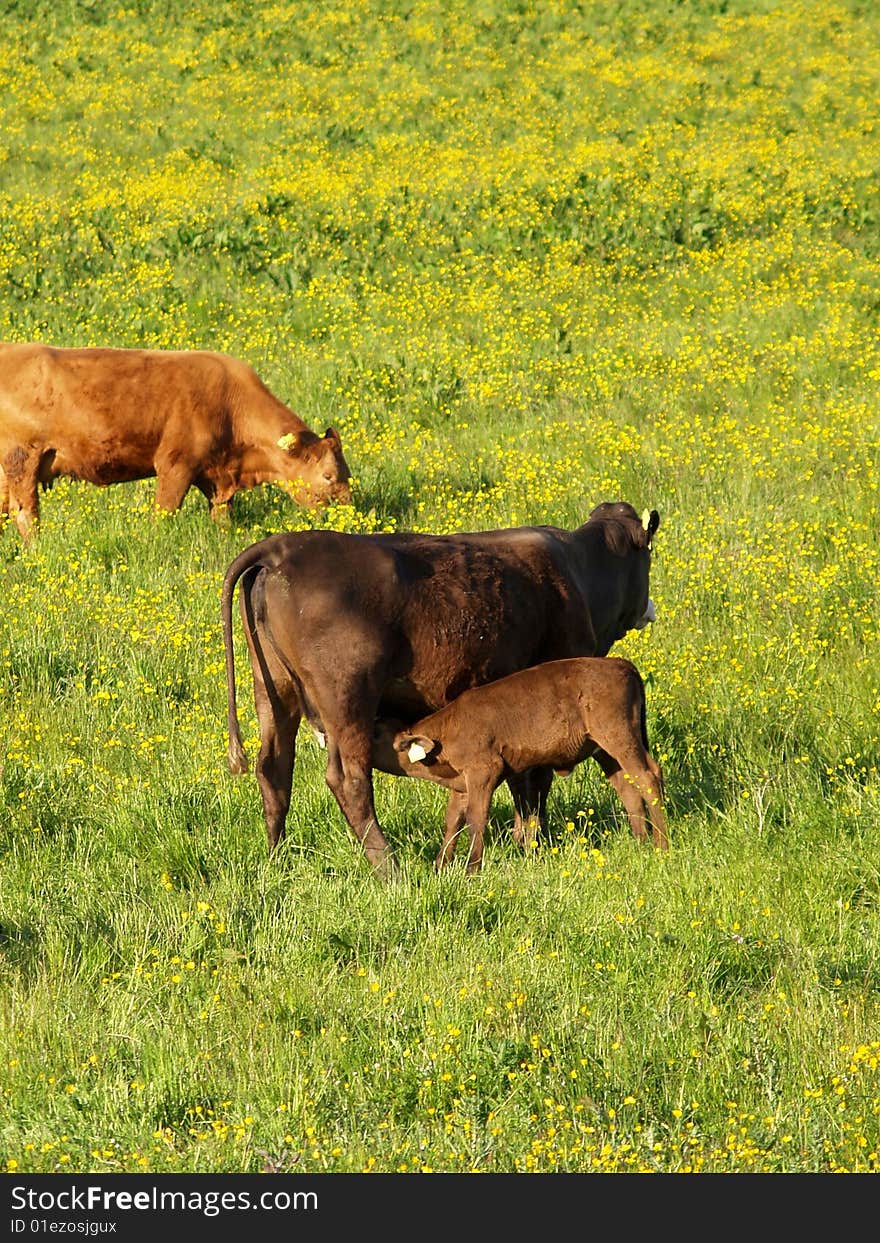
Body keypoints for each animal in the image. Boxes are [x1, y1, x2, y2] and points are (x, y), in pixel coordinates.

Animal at [0, 340, 350, 539]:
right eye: (328, 476)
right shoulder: (176, 465)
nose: (348, 513)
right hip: (23, 460)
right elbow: (164, 512)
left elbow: (222, 515)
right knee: (25, 512)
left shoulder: (216, 476)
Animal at [392, 651, 666, 875]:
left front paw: (471, 870)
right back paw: (641, 842)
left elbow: (475, 817)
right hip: (606, 751)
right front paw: (440, 867)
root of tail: (621, 664)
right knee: (628, 788)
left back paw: (661, 845)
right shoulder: (463, 785)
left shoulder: (484, 772)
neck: (449, 729)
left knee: (648, 777)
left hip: (620, 738)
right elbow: (453, 819)